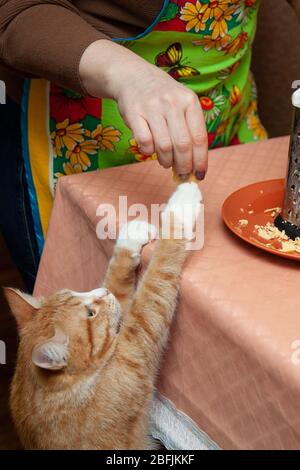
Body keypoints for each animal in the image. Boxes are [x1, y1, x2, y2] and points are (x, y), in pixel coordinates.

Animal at [4, 182, 202, 450]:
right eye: (90, 313)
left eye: (75, 291)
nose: (102, 293)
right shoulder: (136, 344)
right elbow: (157, 276)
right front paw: (183, 202)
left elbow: (117, 275)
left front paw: (132, 236)